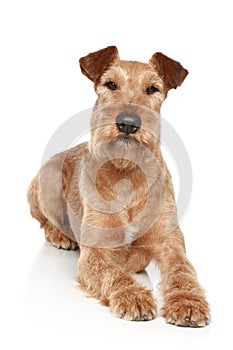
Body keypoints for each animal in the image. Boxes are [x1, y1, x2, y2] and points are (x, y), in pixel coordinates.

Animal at [27, 45, 211, 326]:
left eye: (152, 89)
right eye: (111, 84)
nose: (128, 123)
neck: (127, 174)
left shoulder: (171, 244)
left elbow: (183, 272)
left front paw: (188, 302)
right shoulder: (96, 252)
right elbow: (114, 274)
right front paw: (133, 296)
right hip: (46, 179)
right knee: (45, 221)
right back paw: (60, 236)